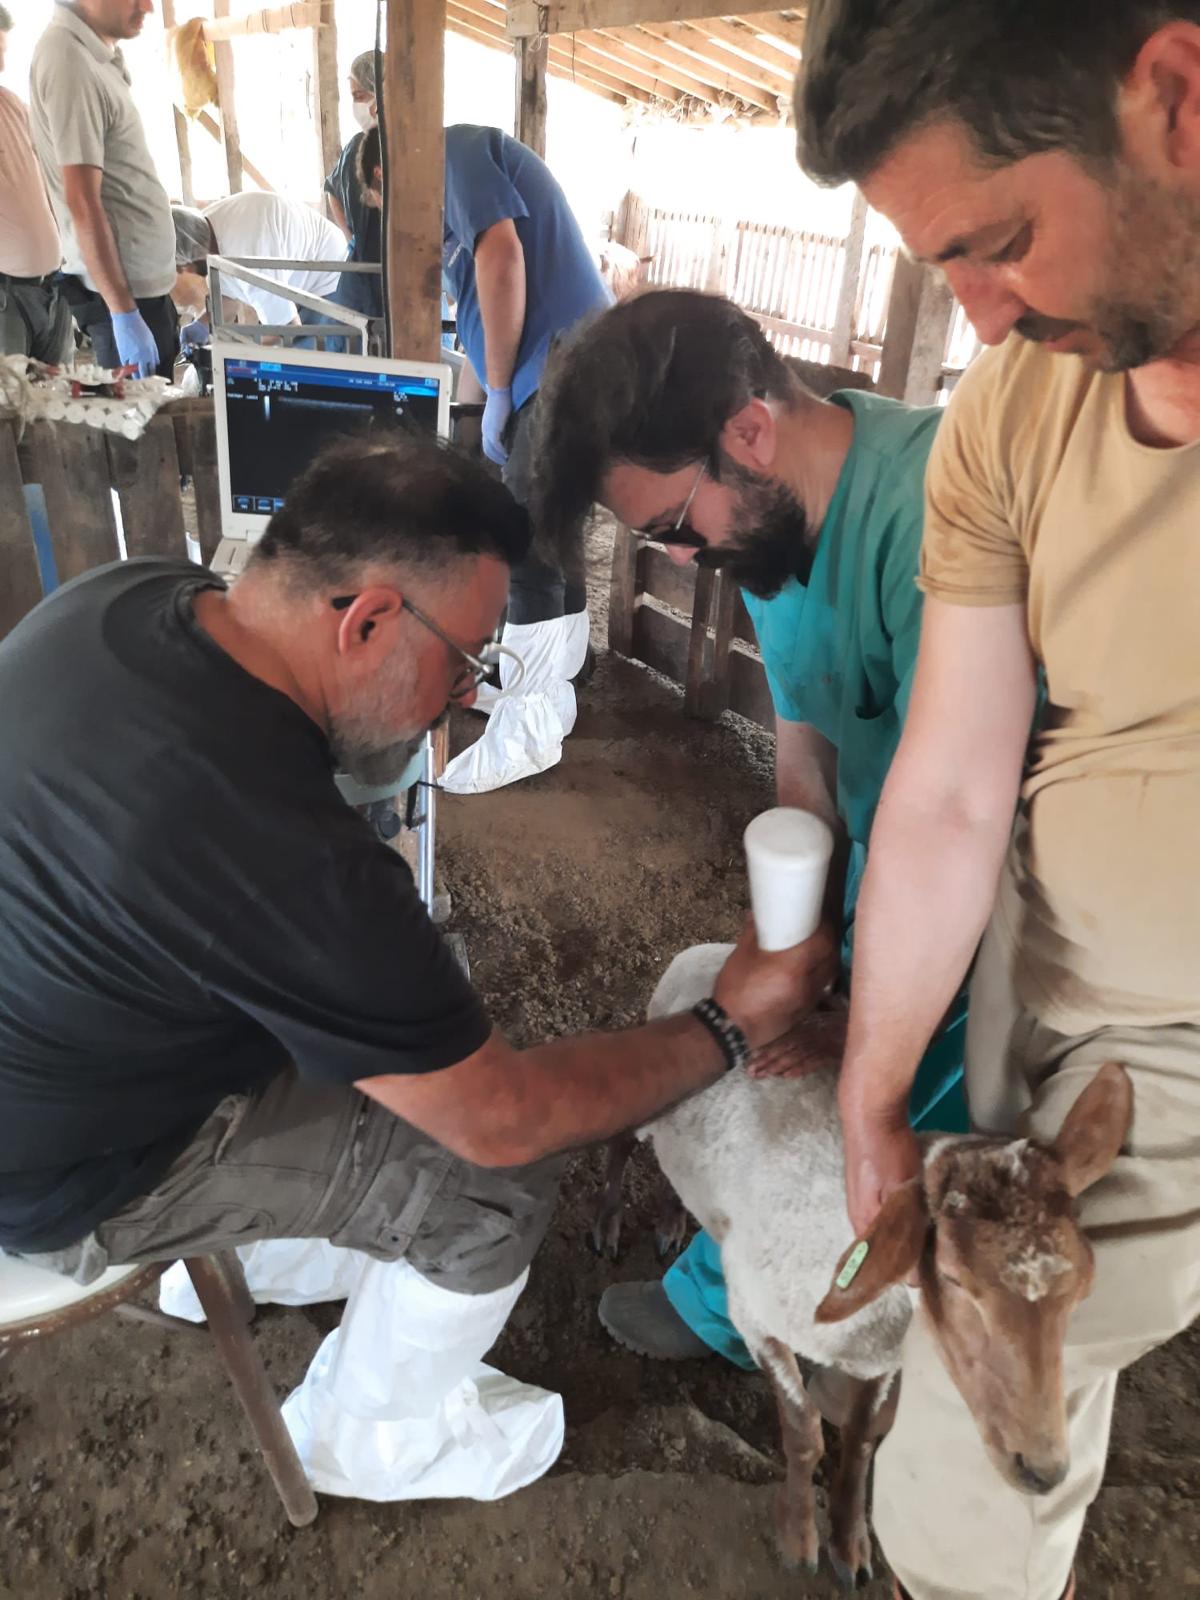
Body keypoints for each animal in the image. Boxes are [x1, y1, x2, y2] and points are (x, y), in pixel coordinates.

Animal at [633, 947, 1132, 1587]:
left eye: (1082, 1290)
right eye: (953, 1278)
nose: (1044, 1470)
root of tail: (706, 951)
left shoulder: (881, 1362)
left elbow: (862, 1441)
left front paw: (850, 1543)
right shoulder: (753, 1317)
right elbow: (804, 1433)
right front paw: (799, 1536)